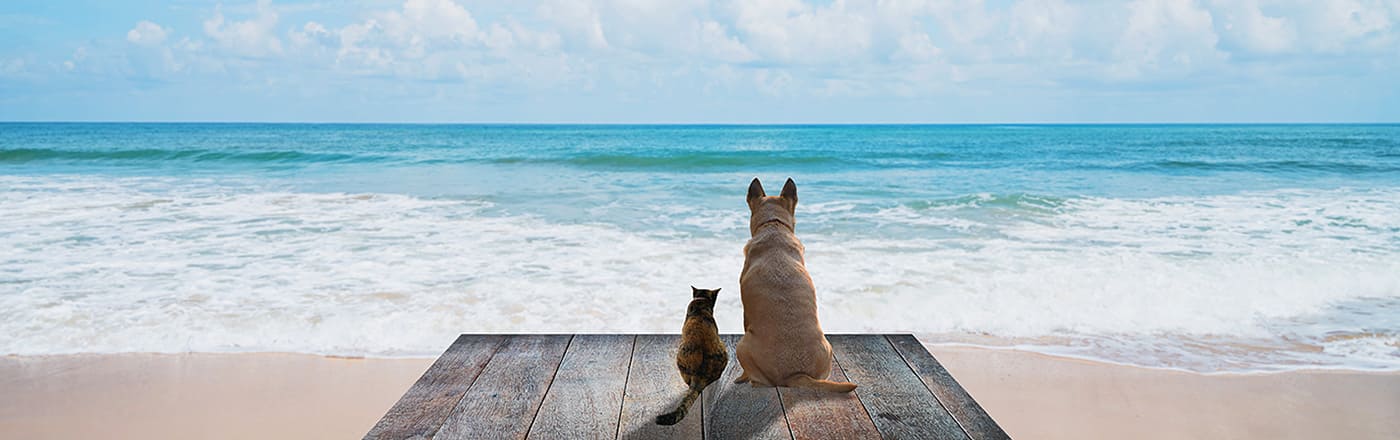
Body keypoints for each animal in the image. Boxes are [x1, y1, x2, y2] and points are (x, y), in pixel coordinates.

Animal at [733, 177, 851, 392]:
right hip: (827, 348)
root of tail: (797, 374)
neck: (773, 226)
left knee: (758, 380)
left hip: (742, 345)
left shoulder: (746, 315)